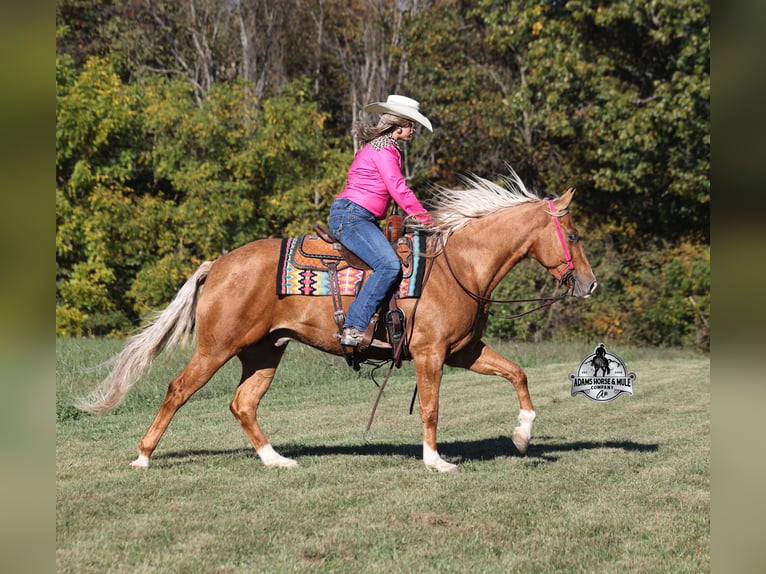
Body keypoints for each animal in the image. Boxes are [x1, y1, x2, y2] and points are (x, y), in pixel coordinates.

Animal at [78, 169, 597, 473]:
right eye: (572, 234)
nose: (590, 284)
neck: (460, 266)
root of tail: (219, 264)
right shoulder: (430, 354)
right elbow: (431, 408)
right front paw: (436, 463)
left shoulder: (464, 351)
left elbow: (518, 374)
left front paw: (523, 436)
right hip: (215, 348)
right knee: (178, 391)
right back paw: (143, 457)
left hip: (265, 351)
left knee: (244, 403)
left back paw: (276, 460)